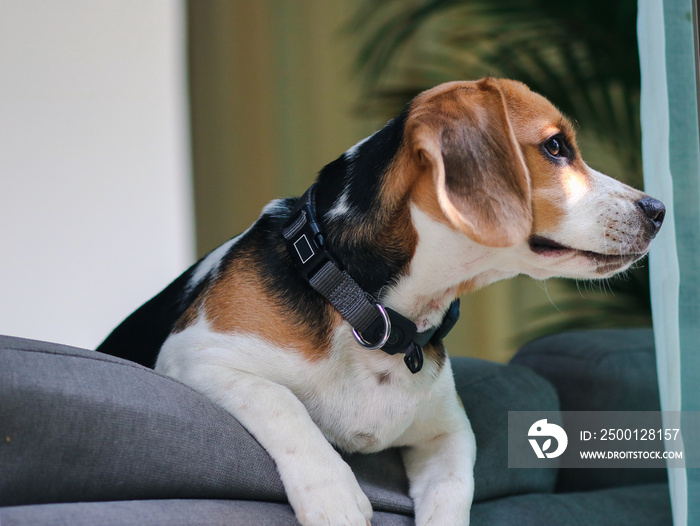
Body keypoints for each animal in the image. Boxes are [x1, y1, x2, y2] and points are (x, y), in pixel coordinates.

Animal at [97, 78, 660, 526]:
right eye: (556, 147)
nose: (658, 209)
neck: (374, 310)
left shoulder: (449, 432)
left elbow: (456, 491)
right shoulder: (196, 356)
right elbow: (283, 406)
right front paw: (335, 499)